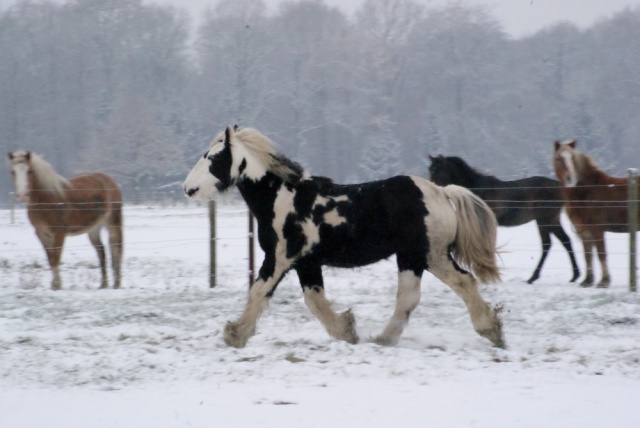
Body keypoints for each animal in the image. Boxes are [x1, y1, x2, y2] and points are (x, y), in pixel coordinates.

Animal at [8, 151, 122, 290]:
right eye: (13, 172)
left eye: (29, 171)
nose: (22, 196)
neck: (46, 200)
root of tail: (110, 180)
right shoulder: (41, 233)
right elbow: (50, 258)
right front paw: (53, 284)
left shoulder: (59, 233)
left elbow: (56, 257)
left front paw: (57, 285)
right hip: (94, 228)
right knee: (101, 251)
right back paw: (103, 284)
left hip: (113, 223)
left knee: (116, 248)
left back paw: (116, 283)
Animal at [184, 125, 504, 350]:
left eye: (213, 158)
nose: (188, 188)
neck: (281, 199)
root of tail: (442, 192)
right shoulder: (306, 263)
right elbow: (314, 300)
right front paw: (347, 330)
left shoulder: (279, 258)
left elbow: (259, 292)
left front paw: (234, 334)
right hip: (411, 258)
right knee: (409, 298)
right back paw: (383, 339)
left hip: (430, 255)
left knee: (462, 282)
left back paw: (491, 330)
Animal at [430, 155, 580, 284]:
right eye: (430, 170)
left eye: (439, 170)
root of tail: (560, 187)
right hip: (551, 221)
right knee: (565, 241)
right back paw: (574, 276)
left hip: (544, 220)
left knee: (548, 244)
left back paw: (533, 277)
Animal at [552, 140, 636, 288]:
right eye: (558, 158)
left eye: (572, 158)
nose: (570, 179)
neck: (588, 191)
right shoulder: (584, 231)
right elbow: (588, 255)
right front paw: (587, 280)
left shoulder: (597, 229)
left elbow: (601, 253)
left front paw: (604, 281)